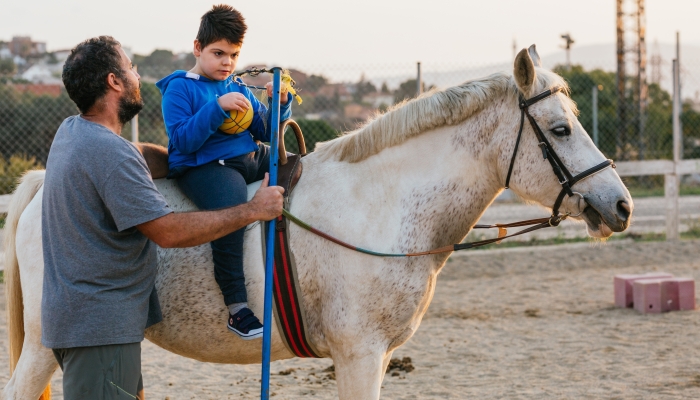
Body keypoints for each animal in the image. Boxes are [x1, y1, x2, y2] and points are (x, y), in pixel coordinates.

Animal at [2, 47, 632, 400]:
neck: (381, 206)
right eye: (559, 130)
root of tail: (42, 185)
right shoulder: (359, 355)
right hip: (45, 346)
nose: (621, 205)